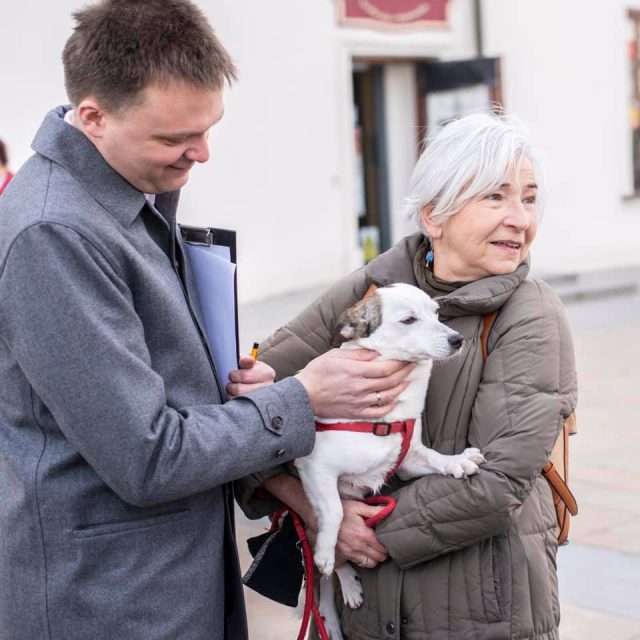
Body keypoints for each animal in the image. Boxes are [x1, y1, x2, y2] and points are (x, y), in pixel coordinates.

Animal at [296, 284, 484, 640]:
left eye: (437, 313)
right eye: (408, 320)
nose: (457, 340)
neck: (385, 416)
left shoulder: (409, 459)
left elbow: (433, 457)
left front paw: (456, 462)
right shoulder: (316, 467)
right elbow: (335, 512)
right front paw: (326, 552)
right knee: (330, 565)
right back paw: (343, 579)